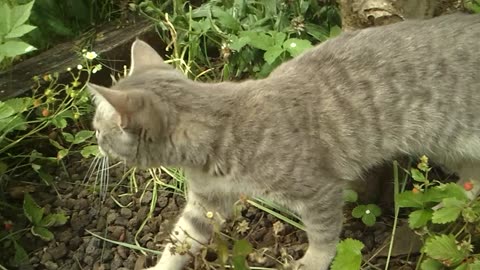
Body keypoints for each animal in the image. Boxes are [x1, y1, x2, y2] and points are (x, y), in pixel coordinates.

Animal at [87, 13, 480, 270]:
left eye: (99, 128)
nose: (94, 138)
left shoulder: (321, 192)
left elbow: (323, 235)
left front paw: (313, 261)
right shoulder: (206, 203)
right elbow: (180, 241)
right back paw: (454, 200)